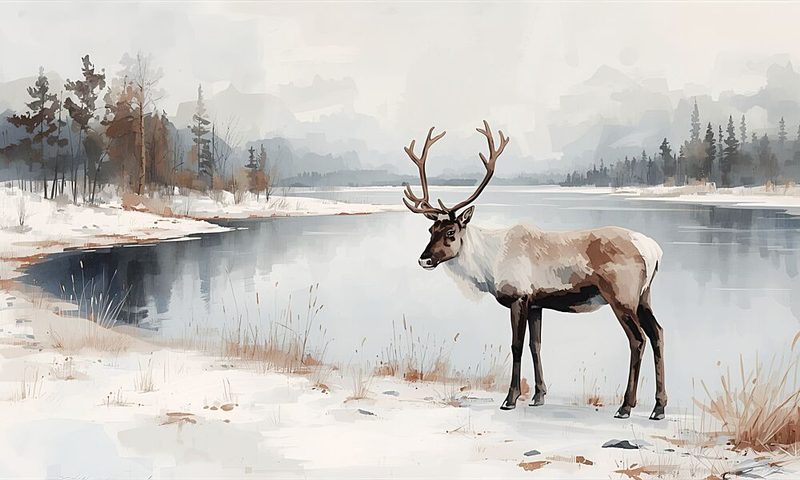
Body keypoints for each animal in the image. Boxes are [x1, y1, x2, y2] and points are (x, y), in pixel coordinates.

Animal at [402, 121, 666, 420]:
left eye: (450, 232)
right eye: (430, 229)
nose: (424, 259)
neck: (490, 265)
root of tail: (654, 251)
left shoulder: (518, 297)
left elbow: (516, 345)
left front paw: (510, 398)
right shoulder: (537, 303)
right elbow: (535, 345)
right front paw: (539, 396)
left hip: (622, 297)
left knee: (638, 339)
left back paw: (626, 406)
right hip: (644, 296)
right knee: (657, 333)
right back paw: (658, 407)